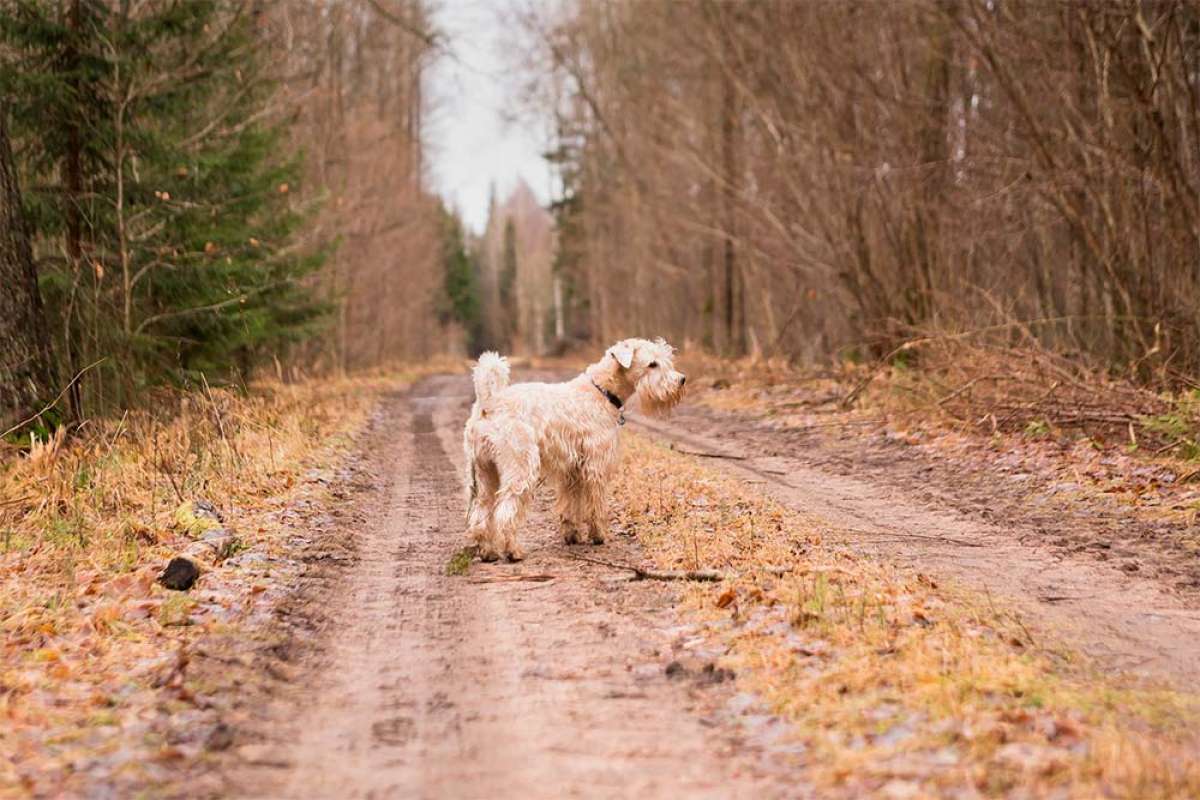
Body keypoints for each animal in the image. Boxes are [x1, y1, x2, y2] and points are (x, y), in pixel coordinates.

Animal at [460, 338, 686, 563]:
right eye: (652, 364)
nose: (681, 379)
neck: (602, 391)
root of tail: (489, 402)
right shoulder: (596, 465)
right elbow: (596, 503)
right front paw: (598, 535)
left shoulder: (572, 469)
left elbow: (571, 505)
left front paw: (573, 535)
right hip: (520, 468)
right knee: (505, 511)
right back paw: (513, 550)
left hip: (484, 473)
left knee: (480, 513)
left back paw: (488, 552)